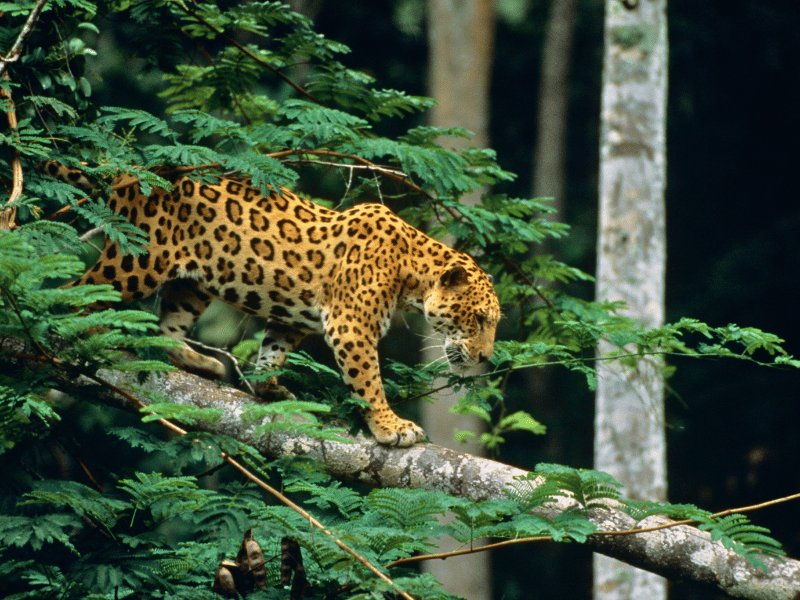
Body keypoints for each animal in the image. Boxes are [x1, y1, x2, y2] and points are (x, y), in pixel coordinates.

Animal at [43, 161, 500, 447]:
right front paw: (391, 427)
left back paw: (201, 362)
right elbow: (369, 382)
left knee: (166, 327)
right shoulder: (351, 326)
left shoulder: (295, 321)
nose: (485, 358)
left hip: (193, 285)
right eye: (479, 320)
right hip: (138, 261)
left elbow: (273, 351)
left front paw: (268, 386)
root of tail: (130, 175)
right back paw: (86, 332)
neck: (412, 273)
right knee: (76, 292)